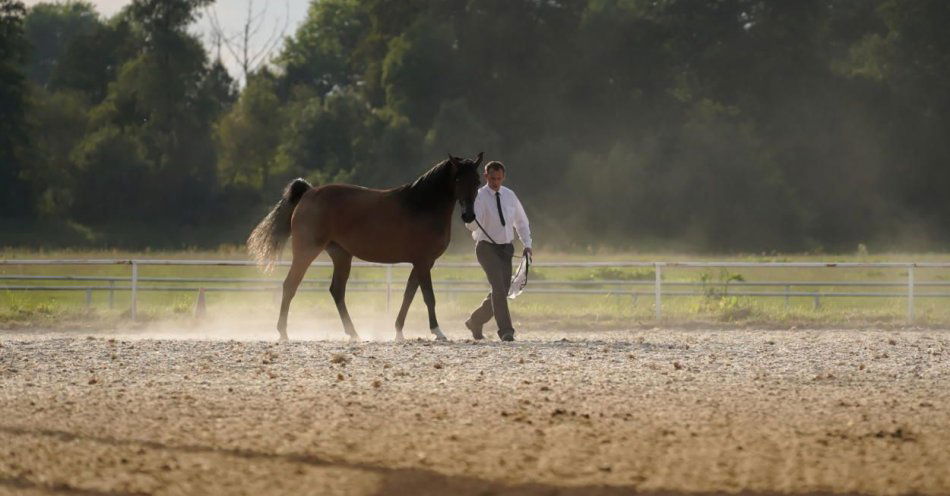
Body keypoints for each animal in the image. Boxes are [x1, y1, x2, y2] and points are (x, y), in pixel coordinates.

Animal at [247, 153, 484, 342]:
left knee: (337, 290)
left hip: (341, 255)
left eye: (477, 180)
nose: (469, 215)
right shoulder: (424, 262)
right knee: (290, 286)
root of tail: (309, 192)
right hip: (306, 252)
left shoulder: (421, 263)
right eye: (458, 178)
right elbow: (428, 296)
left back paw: (353, 333)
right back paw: (283, 332)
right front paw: (438, 331)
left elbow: (409, 294)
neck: (421, 205)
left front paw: (398, 331)